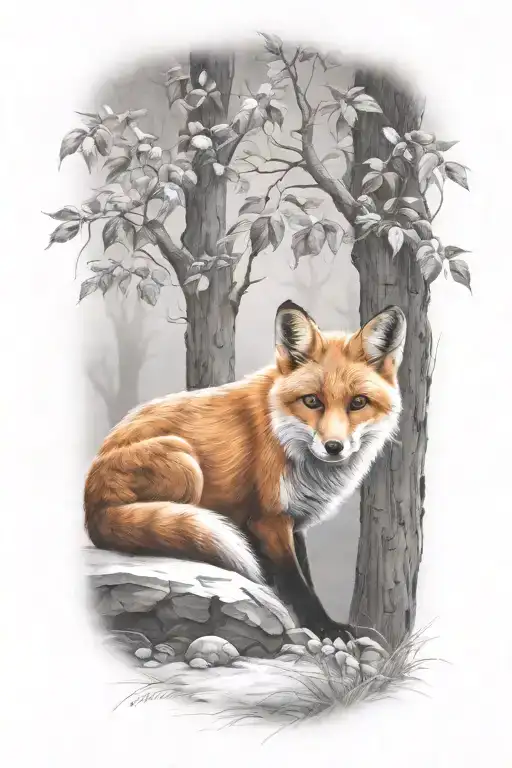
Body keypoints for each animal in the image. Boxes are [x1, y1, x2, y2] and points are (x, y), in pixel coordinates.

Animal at [84, 300, 406, 641]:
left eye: (358, 403)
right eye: (311, 401)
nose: (334, 447)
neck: (283, 434)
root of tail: (91, 509)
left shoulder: (294, 520)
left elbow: (303, 575)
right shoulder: (269, 519)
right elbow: (296, 582)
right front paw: (324, 627)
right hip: (185, 462)